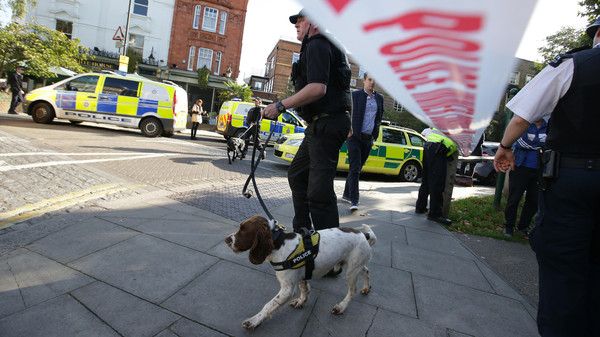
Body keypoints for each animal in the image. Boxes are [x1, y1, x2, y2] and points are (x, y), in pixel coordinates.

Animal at [225, 215, 376, 328]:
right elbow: (304, 288)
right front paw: (301, 302)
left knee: (352, 290)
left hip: (351, 271)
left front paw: (254, 321)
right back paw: (366, 288)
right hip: (355, 265)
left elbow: (269, 305)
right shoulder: (301, 275)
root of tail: (363, 234)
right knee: (366, 271)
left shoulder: (287, 289)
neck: (278, 244)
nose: (226, 240)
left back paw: (341, 307)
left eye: (243, 230)